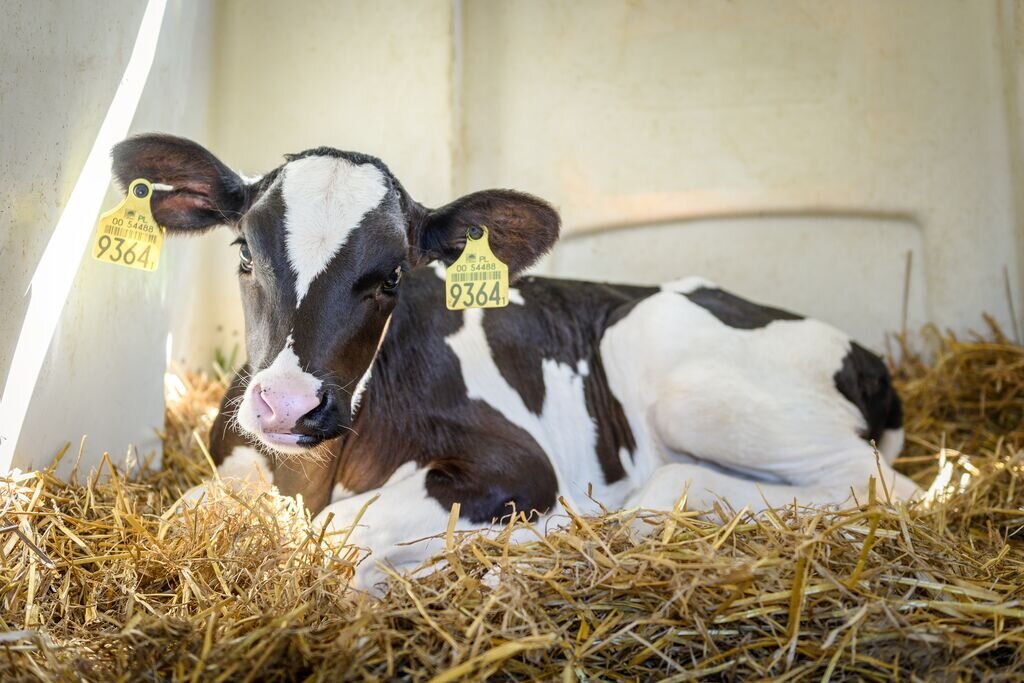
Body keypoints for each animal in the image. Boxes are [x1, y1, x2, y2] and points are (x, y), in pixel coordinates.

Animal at [112, 133, 921, 589]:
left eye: (392, 275)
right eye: (244, 253)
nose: (287, 404)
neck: (314, 473)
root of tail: (871, 360)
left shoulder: (519, 465)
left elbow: (340, 532)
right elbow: (187, 511)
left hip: (672, 365)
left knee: (887, 489)